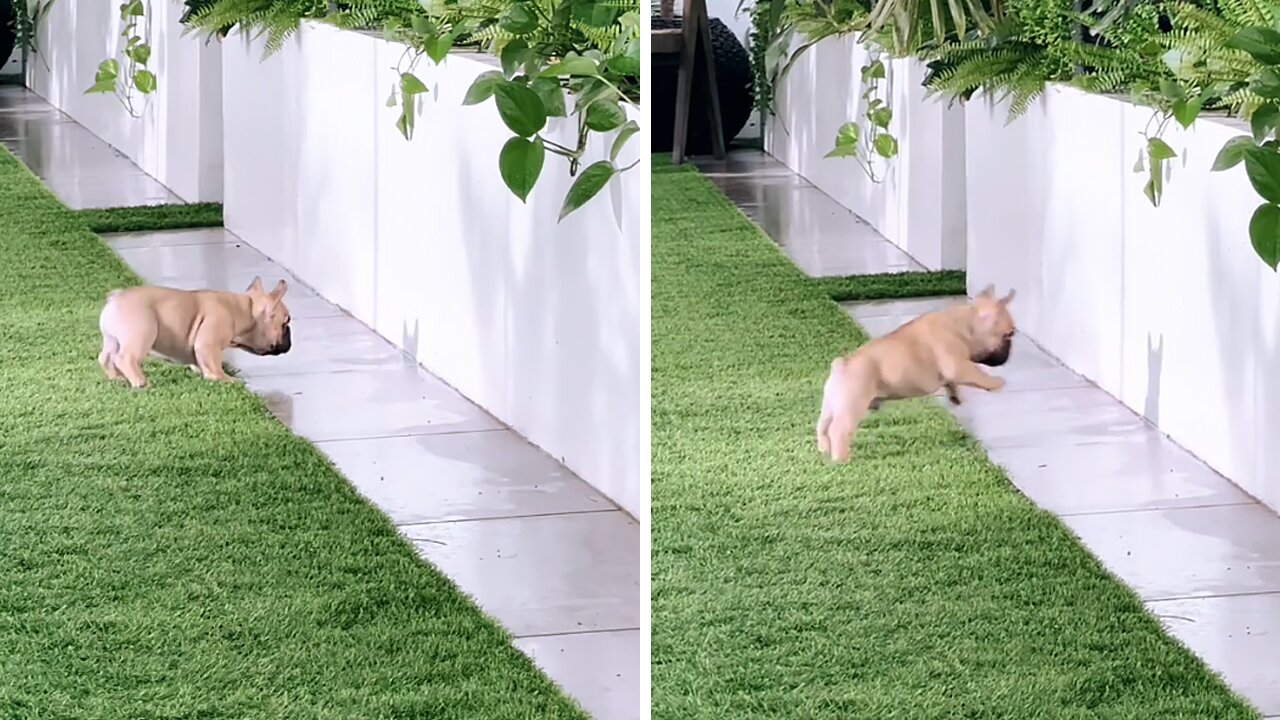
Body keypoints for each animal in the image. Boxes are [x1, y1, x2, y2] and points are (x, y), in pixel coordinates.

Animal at [97, 274, 293, 386]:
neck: (246, 311)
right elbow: (213, 364)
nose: (290, 334)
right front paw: (225, 379)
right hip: (141, 334)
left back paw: (116, 378)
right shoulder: (209, 344)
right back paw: (140, 383)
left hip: (112, 339)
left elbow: (200, 361)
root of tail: (115, 297)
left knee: (106, 357)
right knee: (125, 358)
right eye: (286, 323)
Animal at [814, 284, 1013, 458]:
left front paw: (955, 396)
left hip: (833, 403)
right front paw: (995, 382)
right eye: (1009, 335)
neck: (964, 323)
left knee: (822, 426)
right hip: (853, 404)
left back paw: (824, 450)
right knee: (839, 430)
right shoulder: (958, 365)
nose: (1008, 357)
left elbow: (952, 383)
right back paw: (841, 459)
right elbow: (977, 374)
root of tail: (842, 364)